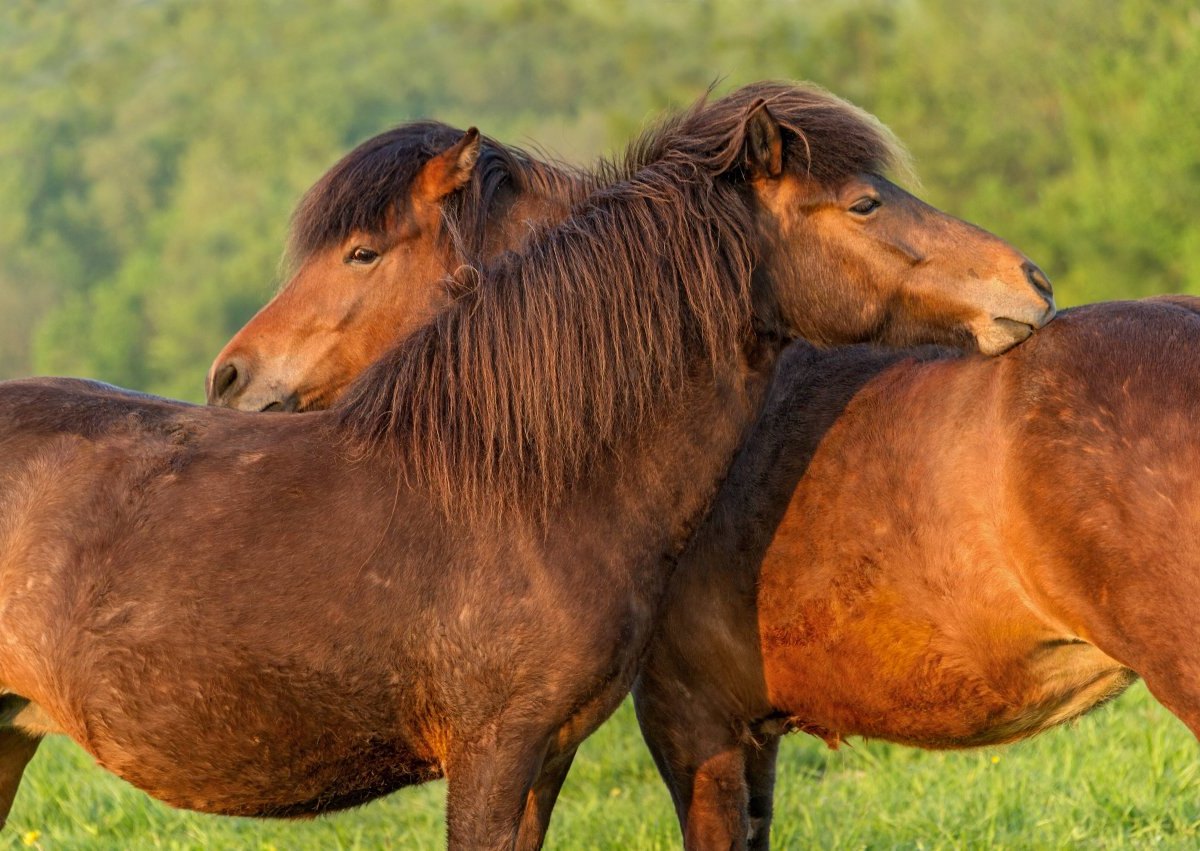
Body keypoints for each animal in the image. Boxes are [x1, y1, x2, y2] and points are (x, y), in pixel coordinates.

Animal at [0, 81, 1051, 844]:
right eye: (865, 202)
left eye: (362, 253)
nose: (1029, 282)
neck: (530, 486)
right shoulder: (493, 755)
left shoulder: (547, 756)